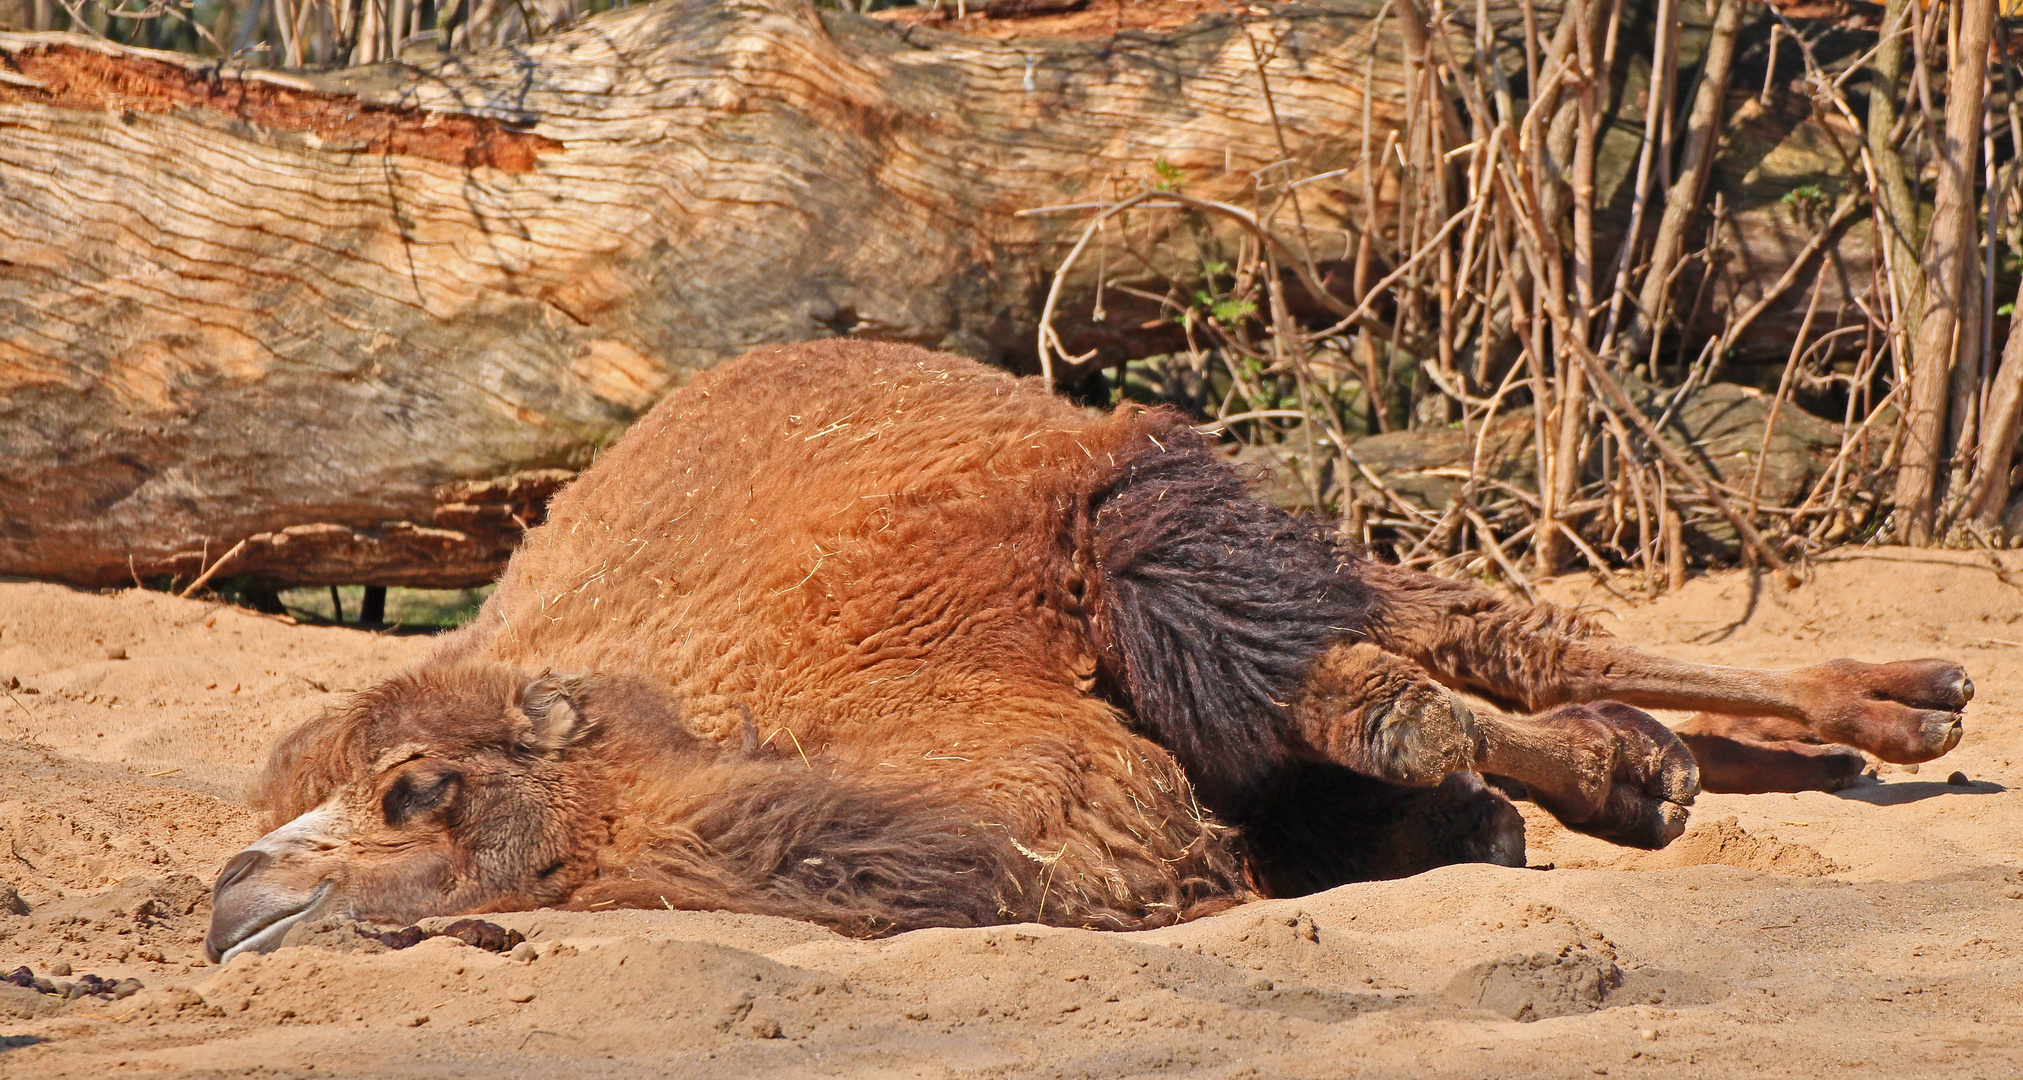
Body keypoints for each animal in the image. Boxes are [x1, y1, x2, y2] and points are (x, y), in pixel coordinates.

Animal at [197, 345, 1966, 966]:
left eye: (413, 789)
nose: (233, 900)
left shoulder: (1097, 539)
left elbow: (1371, 698)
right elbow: (1393, 778)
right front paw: (1540, 802)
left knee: (1484, 630)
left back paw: (1903, 707)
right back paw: (1705, 760)